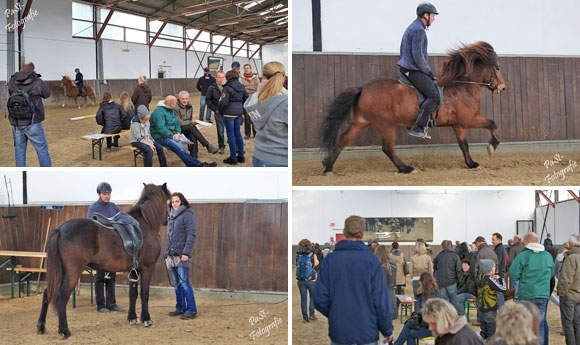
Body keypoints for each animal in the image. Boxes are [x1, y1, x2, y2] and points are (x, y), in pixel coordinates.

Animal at [37, 181, 170, 338]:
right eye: (169, 201)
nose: (167, 219)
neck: (145, 225)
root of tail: (60, 229)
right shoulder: (147, 268)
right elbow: (145, 294)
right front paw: (147, 319)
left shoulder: (134, 271)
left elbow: (133, 294)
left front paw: (132, 318)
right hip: (72, 273)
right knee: (62, 297)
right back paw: (65, 331)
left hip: (60, 273)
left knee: (47, 294)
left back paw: (41, 326)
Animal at [322, 41, 508, 175]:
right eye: (497, 68)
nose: (503, 87)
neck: (463, 88)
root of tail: (363, 87)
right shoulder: (468, 120)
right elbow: (492, 123)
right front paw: (492, 146)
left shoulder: (458, 125)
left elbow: (464, 145)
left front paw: (471, 164)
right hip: (385, 124)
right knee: (388, 148)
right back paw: (406, 168)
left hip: (362, 122)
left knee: (344, 139)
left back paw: (328, 167)